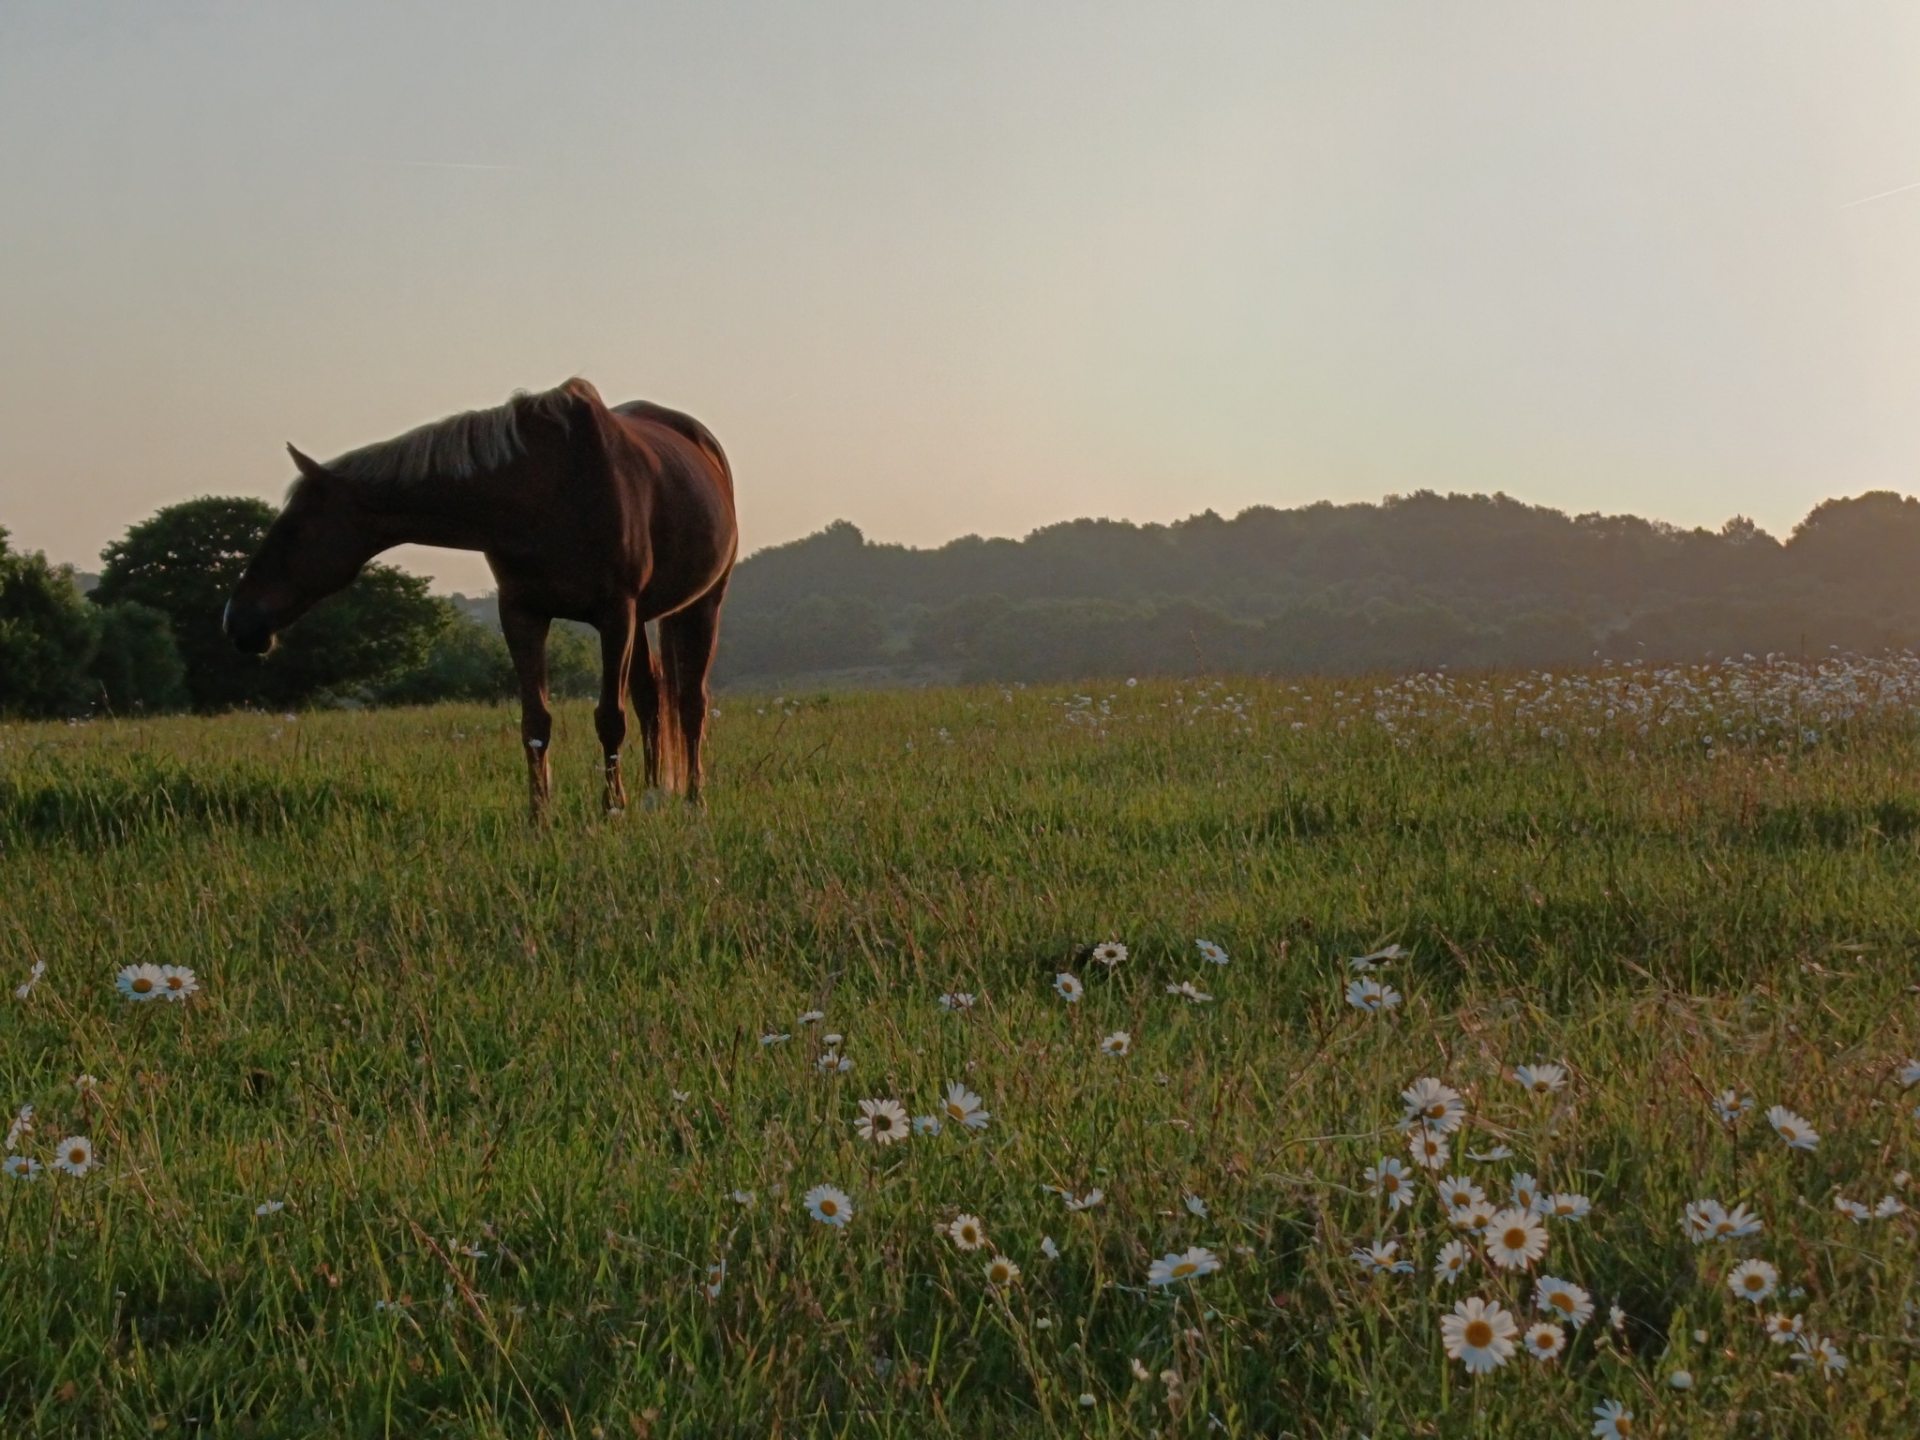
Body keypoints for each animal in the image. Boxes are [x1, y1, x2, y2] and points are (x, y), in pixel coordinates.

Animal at [224, 379, 737, 819]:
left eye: (294, 529)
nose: (236, 620)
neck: (549, 488)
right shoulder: (522, 613)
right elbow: (536, 723)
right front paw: (539, 816)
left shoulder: (615, 614)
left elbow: (610, 717)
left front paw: (612, 810)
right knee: (653, 698)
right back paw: (653, 794)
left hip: (702, 604)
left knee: (690, 703)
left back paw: (693, 800)